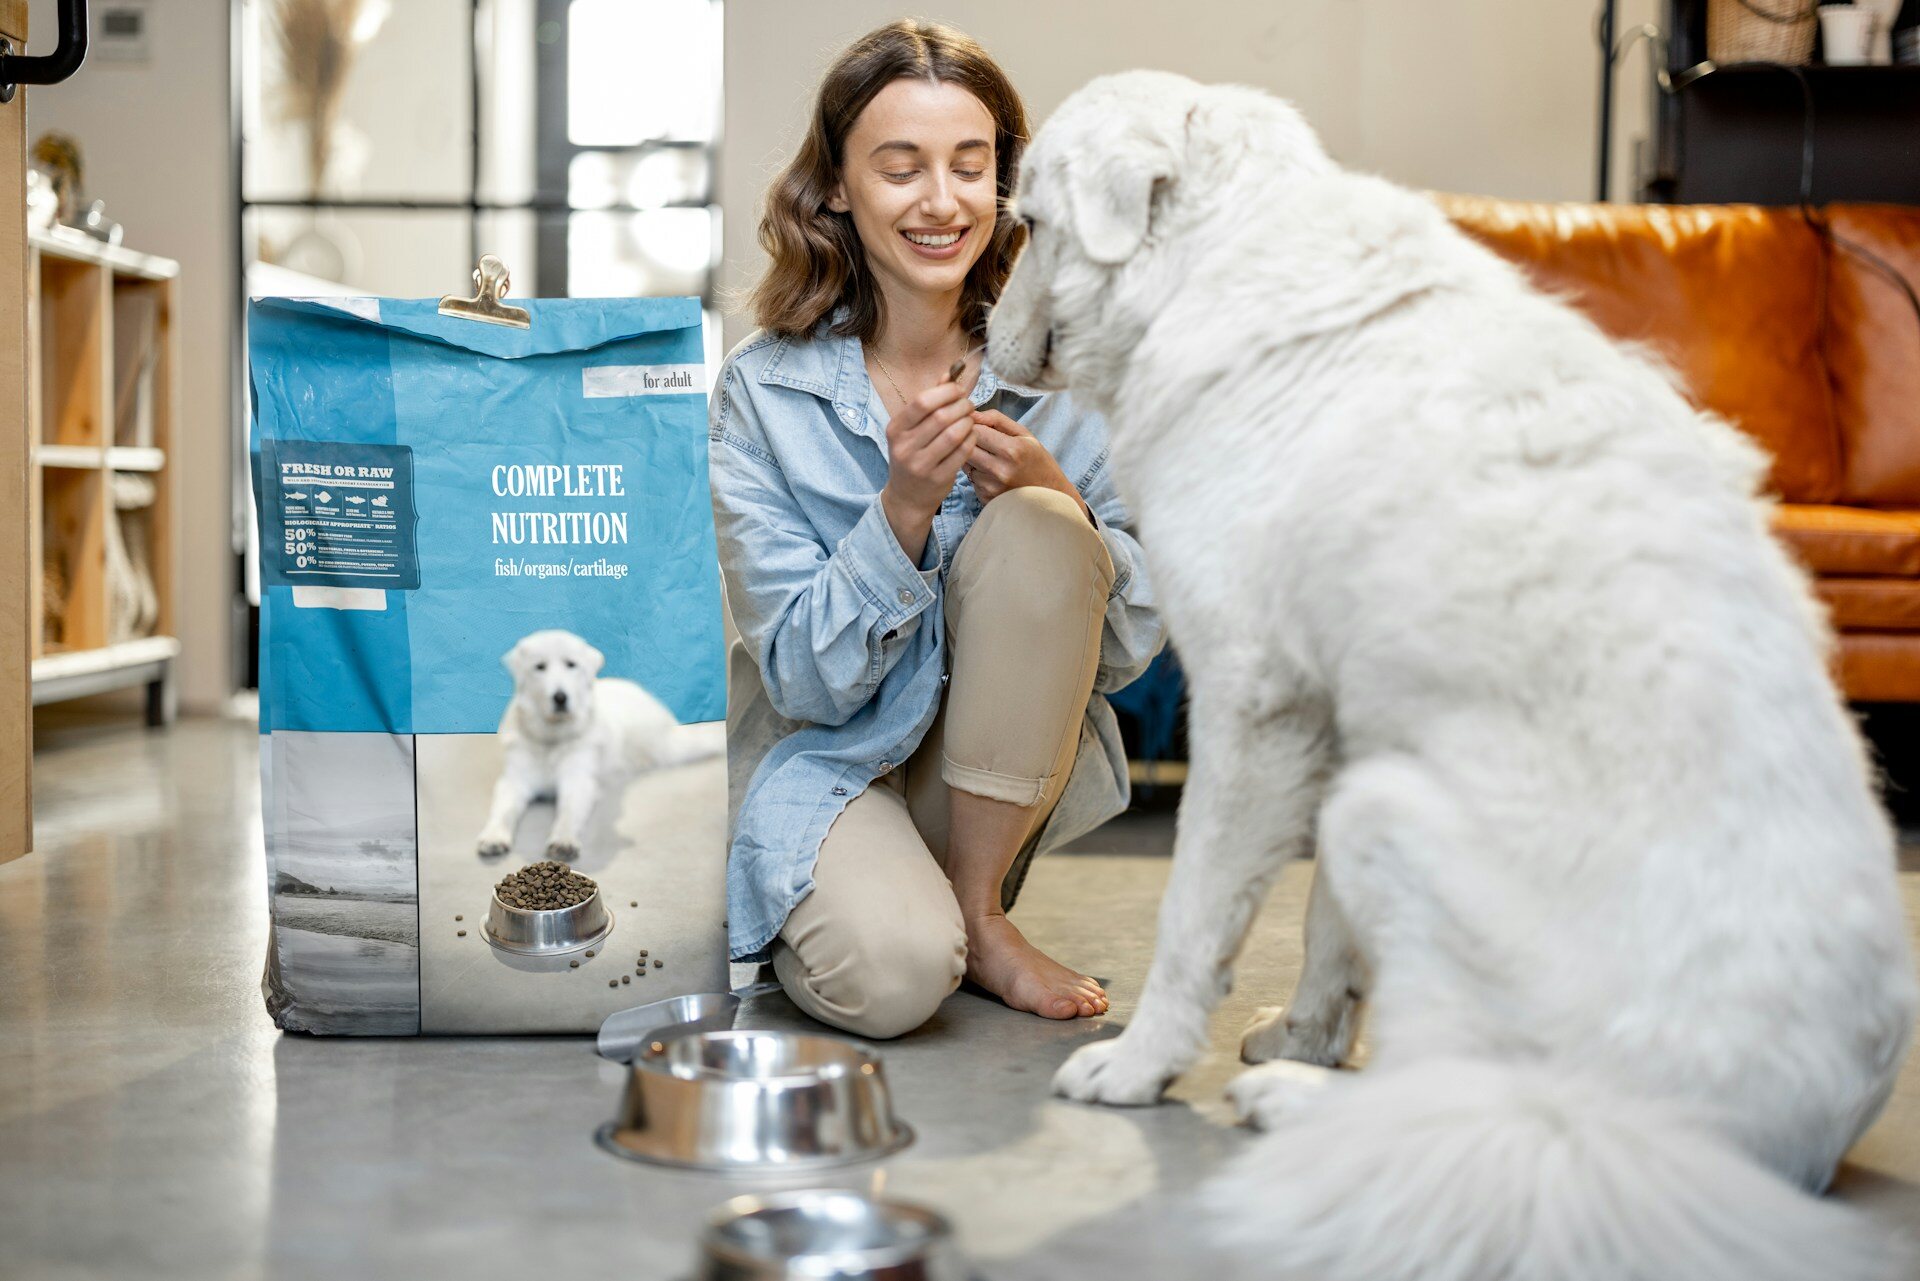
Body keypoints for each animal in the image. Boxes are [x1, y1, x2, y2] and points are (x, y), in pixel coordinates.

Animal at [990, 70, 1920, 1281]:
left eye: (1027, 222)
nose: (979, 335)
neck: (1223, 253)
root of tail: (1758, 1151)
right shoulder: (1348, 718)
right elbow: (1327, 934)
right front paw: (1306, 1034)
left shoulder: (1255, 707)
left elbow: (1193, 919)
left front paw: (1143, 1066)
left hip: (1390, 814)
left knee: (1470, 1103)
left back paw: (1302, 1109)